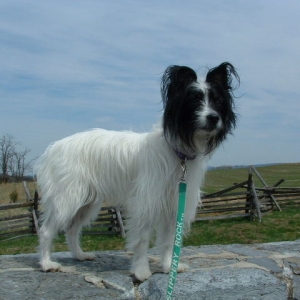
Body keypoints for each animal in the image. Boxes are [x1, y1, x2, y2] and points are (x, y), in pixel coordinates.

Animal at [35, 61, 239, 282]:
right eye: (194, 101)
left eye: (218, 101)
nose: (213, 118)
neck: (178, 154)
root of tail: (54, 147)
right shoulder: (146, 203)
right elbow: (142, 239)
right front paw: (141, 271)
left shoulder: (174, 204)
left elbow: (170, 240)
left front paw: (169, 266)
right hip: (67, 198)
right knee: (46, 230)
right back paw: (46, 264)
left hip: (86, 203)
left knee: (72, 229)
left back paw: (80, 255)